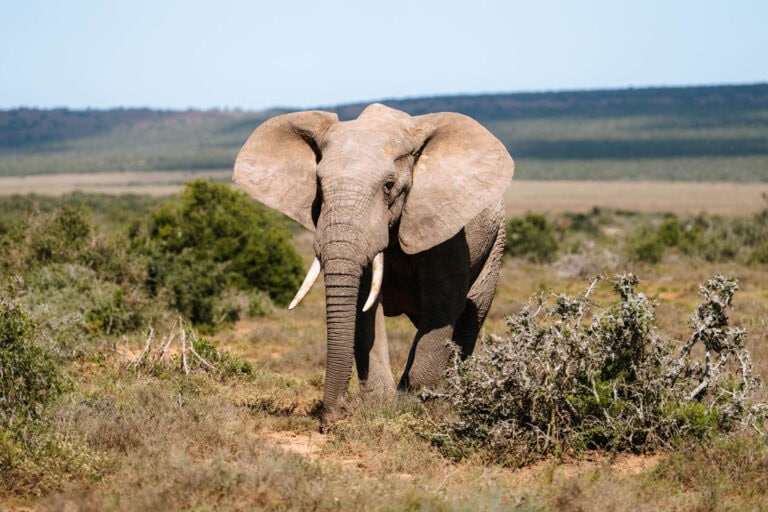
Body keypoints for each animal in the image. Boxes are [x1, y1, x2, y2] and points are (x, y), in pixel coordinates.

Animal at [233, 103, 514, 425]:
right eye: (319, 186)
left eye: (389, 186)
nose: (333, 415)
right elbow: (363, 306)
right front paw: (381, 404)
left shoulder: (447, 226)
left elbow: (443, 303)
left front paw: (419, 402)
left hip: (496, 241)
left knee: (471, 314)